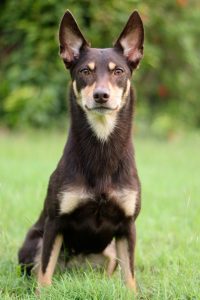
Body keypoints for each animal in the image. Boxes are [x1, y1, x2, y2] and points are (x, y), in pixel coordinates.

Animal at [18, 9, 144, 292]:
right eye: (85, 71)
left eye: (119, 71)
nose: (101, 95)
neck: (102, 147)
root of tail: (73, 269)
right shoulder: (55, 223)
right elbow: (45, 273)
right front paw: (43, 294)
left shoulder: (127, 227)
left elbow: (130, 276)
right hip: (35, 240)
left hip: (109, 252)